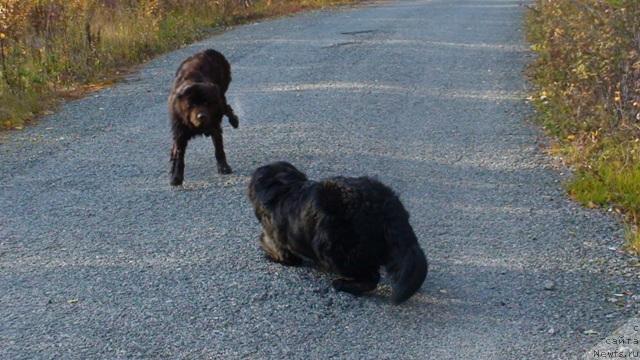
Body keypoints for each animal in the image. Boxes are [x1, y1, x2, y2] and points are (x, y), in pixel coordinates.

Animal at [169, 47, 239, 186]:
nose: (201, 116)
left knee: (227, 108)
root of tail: (208, 51)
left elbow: (219, 148)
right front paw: (176, 177)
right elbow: (179, 156)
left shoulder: (215, 125)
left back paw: (234, 121)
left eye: (206, 103)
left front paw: (224, 167)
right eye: (191, 104)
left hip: (220, 97)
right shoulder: (179, 132)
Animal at [248, 162, 428, 306]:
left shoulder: (279, 243)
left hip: (332, 247)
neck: (283, 186)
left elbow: (270, 245)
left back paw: (344, 284)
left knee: (371, 278)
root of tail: (384, 204)